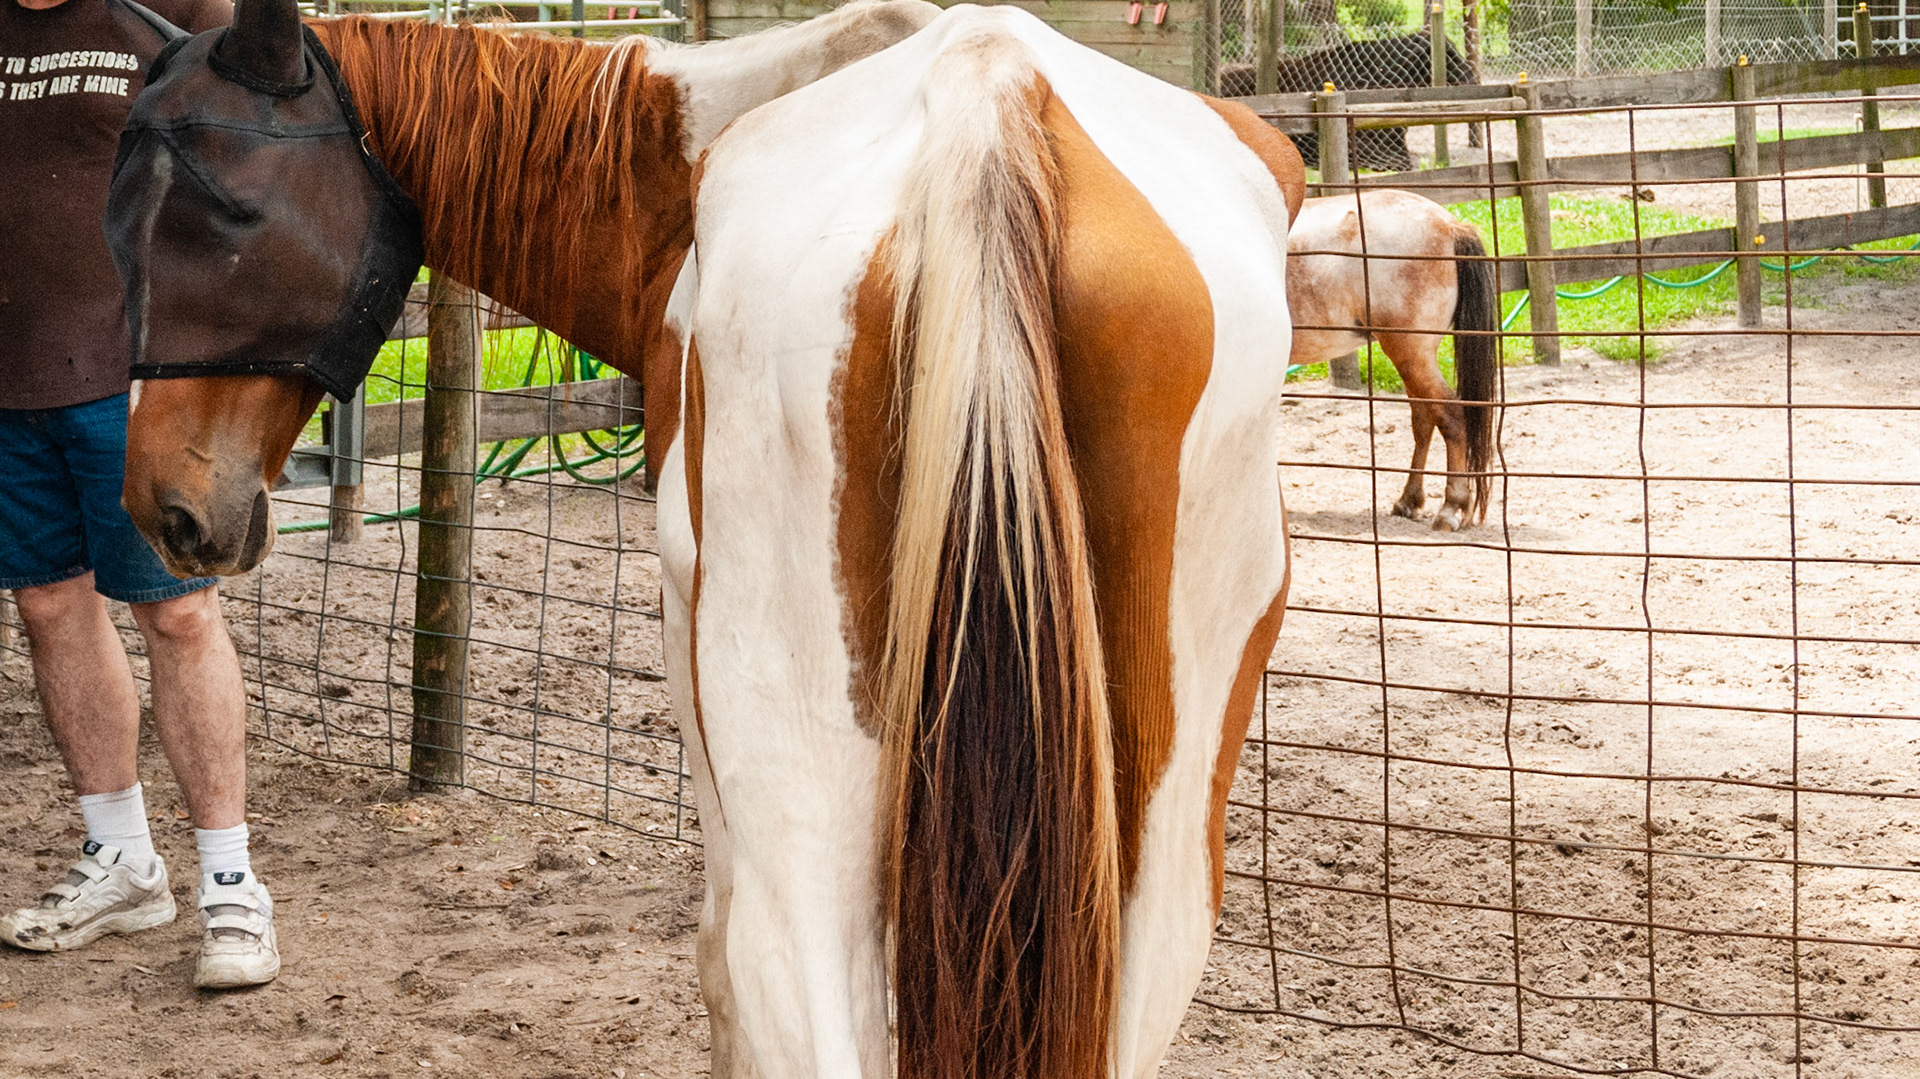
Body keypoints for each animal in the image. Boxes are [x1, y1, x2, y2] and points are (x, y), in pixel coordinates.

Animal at [1287, 188, 1499, 530]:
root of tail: (1451, 226)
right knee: (1424, 420)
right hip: (1414, 358)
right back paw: (1409, 501)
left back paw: (1450, 508)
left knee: (1450, 416)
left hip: (1410, 354)